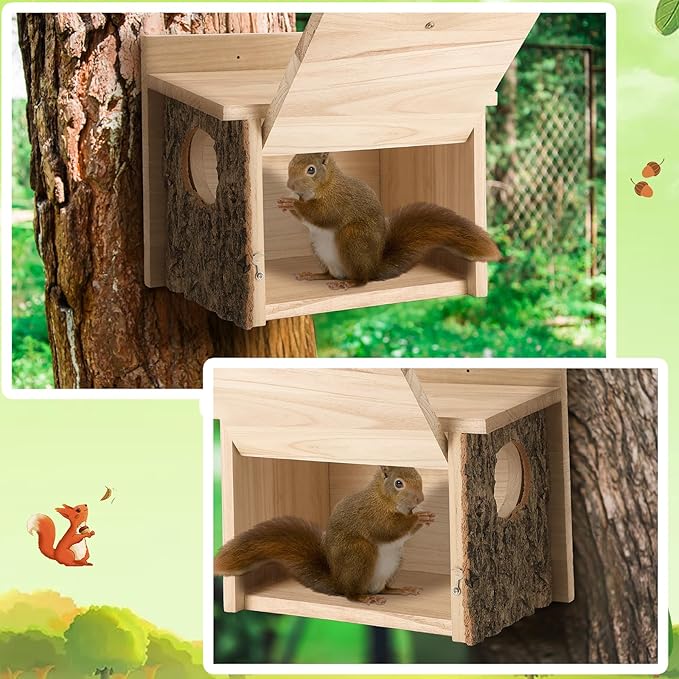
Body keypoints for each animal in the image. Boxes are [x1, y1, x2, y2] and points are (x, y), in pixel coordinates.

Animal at [215, 466, 435, 605]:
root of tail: (338, 582)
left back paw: (400, 590)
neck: (382, 497)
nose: (420, 498)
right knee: (351, 595)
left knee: (383, 589)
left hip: (395, 561)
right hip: (359, 554)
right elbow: (387, 529)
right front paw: (418, 518)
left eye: (419, 477)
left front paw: (425, 516)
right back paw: (364, 598)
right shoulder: (372, 515)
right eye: (399, 483)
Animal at [277, 152, 501, 290]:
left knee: (362, 280)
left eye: (311, 170)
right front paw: (287, 203)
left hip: (353, 239)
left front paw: (292, 204)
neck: (327, 184)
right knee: (331, 274)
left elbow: (322, 214)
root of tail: (373, 267)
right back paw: (315, 275)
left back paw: (348, 283)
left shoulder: (338, 201)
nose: (290, 185)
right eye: (290, 163)